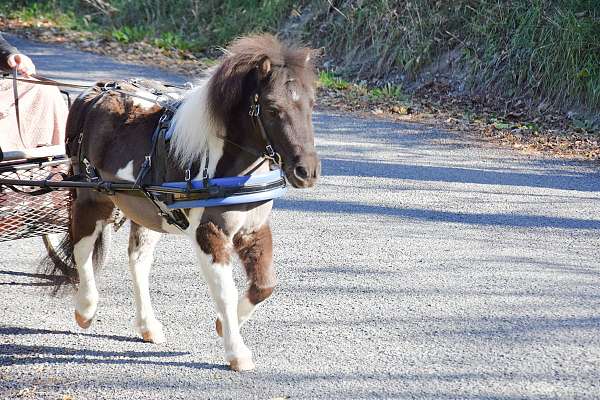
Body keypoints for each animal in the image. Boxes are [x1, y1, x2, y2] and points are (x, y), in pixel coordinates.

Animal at [47, 35, 318, 372]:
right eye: (272, 108)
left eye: (311, 104)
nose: (306, 172)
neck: (223, 165)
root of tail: (95, 92)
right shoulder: (209, 234)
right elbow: (225, 293)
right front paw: (236, 351)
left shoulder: (253, 229)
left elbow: (264, 285)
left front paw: (222, 326)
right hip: (93, 198)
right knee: (82, 247)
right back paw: (85, 309)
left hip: (146, 210)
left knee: (138, 262)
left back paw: (148, 325)